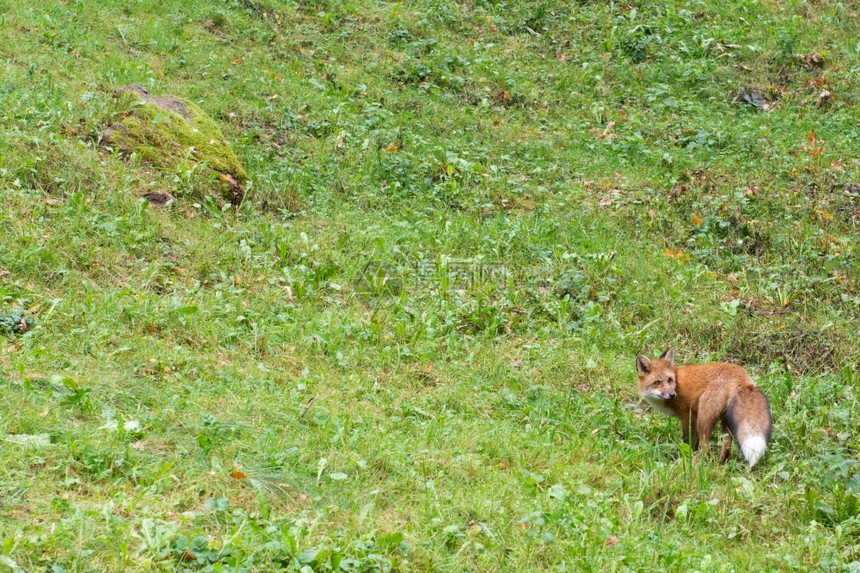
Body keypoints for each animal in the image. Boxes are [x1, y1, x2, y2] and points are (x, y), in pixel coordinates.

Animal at [640, 346, 772, 466]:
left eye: (669, 380)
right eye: (657, 382)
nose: (672, 394)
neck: (677, 383)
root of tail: (740, 374)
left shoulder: (687, 415)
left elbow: (688, 441)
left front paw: (686, 456)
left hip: (704, 418)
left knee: (706, 446)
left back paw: (692, 463)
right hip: (726, 420)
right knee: (727, 444)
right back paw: (721, 463)